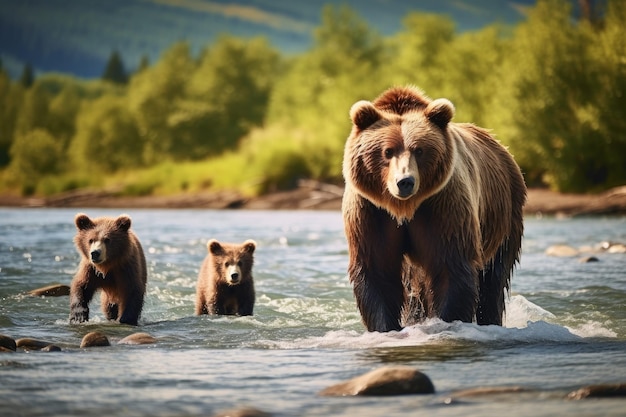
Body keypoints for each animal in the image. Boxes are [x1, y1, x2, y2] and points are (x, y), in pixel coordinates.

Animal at [338, 85, 524, 332]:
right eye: (387, 151)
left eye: (419, 150)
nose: (405, 181)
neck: (404, 208)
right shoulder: (371, 211)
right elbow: (378, 270)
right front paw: (386, 327)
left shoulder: (443, 205)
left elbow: (450, 267)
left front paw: (445, 322)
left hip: (504, 216)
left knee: (493, 281)